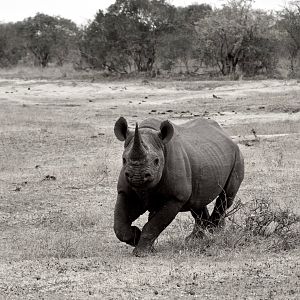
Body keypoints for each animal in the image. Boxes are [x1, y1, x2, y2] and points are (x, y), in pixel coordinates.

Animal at [113, 116, 244, 255]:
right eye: (123, 160)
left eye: (156, 161)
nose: (137, 176)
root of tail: (227, 136)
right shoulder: (124, 192)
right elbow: (120, 227)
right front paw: (137, 237)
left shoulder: (175, 198)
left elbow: (154, 224)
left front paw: (141, 252)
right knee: (197, 202)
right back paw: (195, 238)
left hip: (237, 155)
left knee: (225, 197)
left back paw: (215, 231)